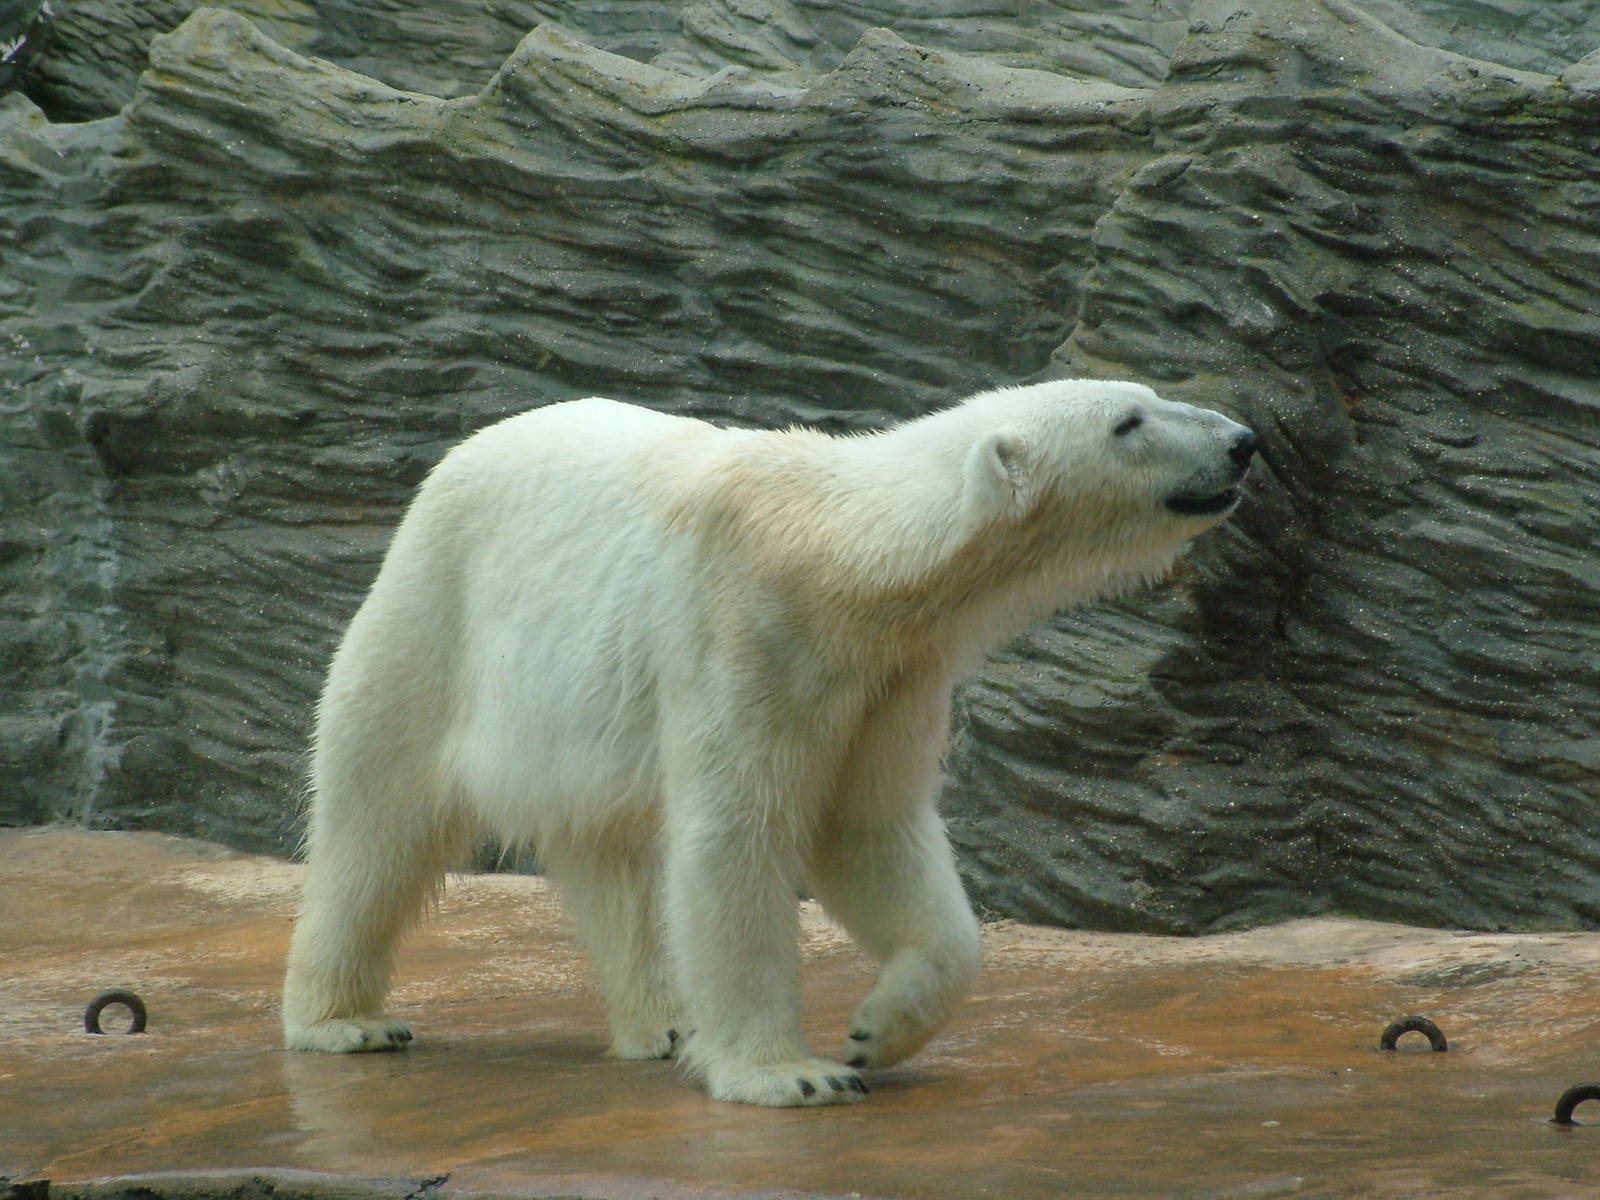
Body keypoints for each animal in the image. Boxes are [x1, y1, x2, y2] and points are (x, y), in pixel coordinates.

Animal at [281, 378, 1256, 1107]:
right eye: (1128, 421)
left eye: (1150, 395)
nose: (1244, 439)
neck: (843, 551)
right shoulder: (746, 630)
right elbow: (736, 839)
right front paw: (792, 1073)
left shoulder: (890, 676)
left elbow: (871, 828)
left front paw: (877, 1028)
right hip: (435, 621)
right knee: (377, 822)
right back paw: (345, 1019)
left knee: (611, 860)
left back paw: (664, 1023)